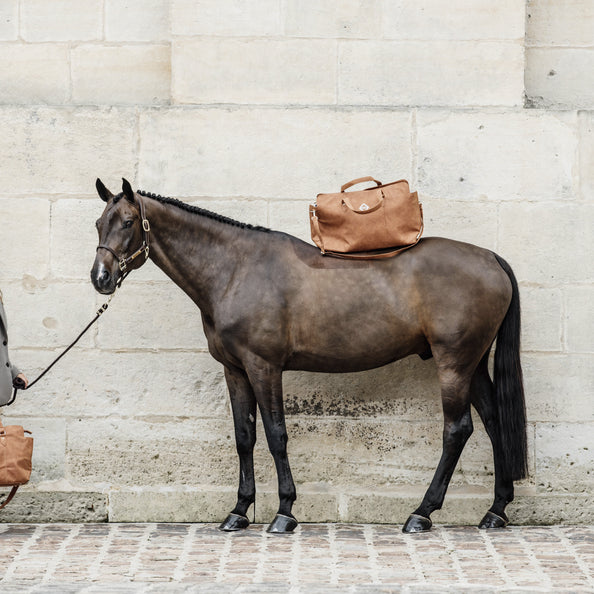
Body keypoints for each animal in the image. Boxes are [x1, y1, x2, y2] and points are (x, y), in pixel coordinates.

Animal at [90, 176, 524, 532]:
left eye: (127, 222)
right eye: (98, 224)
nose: (101, 278)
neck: (234, 270)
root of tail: (490, 258)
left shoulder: (264, 367)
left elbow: (276, 434)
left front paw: (284, 512)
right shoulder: (235, 370)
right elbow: (244, 436)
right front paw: (238, 512)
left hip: (454, 363)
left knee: (457, 430)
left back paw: (421, 513)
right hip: (473, 364)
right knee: (493, 421)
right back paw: (495, 511)